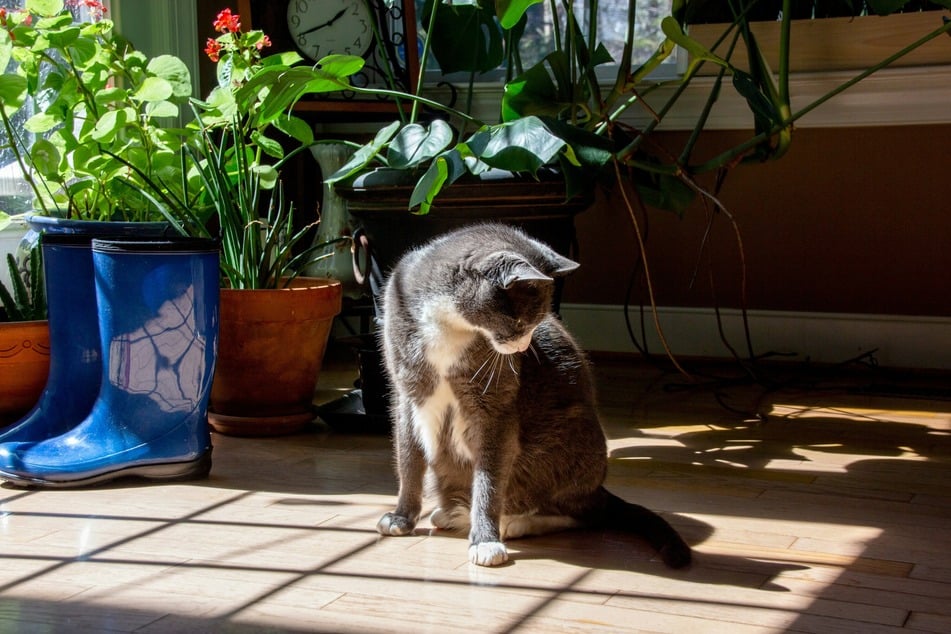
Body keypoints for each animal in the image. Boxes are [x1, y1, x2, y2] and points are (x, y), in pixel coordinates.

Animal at [374, 223, 692, 568]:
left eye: (538, 322)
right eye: (519, 321)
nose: (524, 347)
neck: (450, 326)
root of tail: (599, 488)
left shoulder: (495, 407)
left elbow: (489, 480)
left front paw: (485, 541)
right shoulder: (407, 395)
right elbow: (408, 460)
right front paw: (401, 518)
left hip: (568, 442)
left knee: (583, 513)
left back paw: (515, 523)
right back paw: (451, 514)